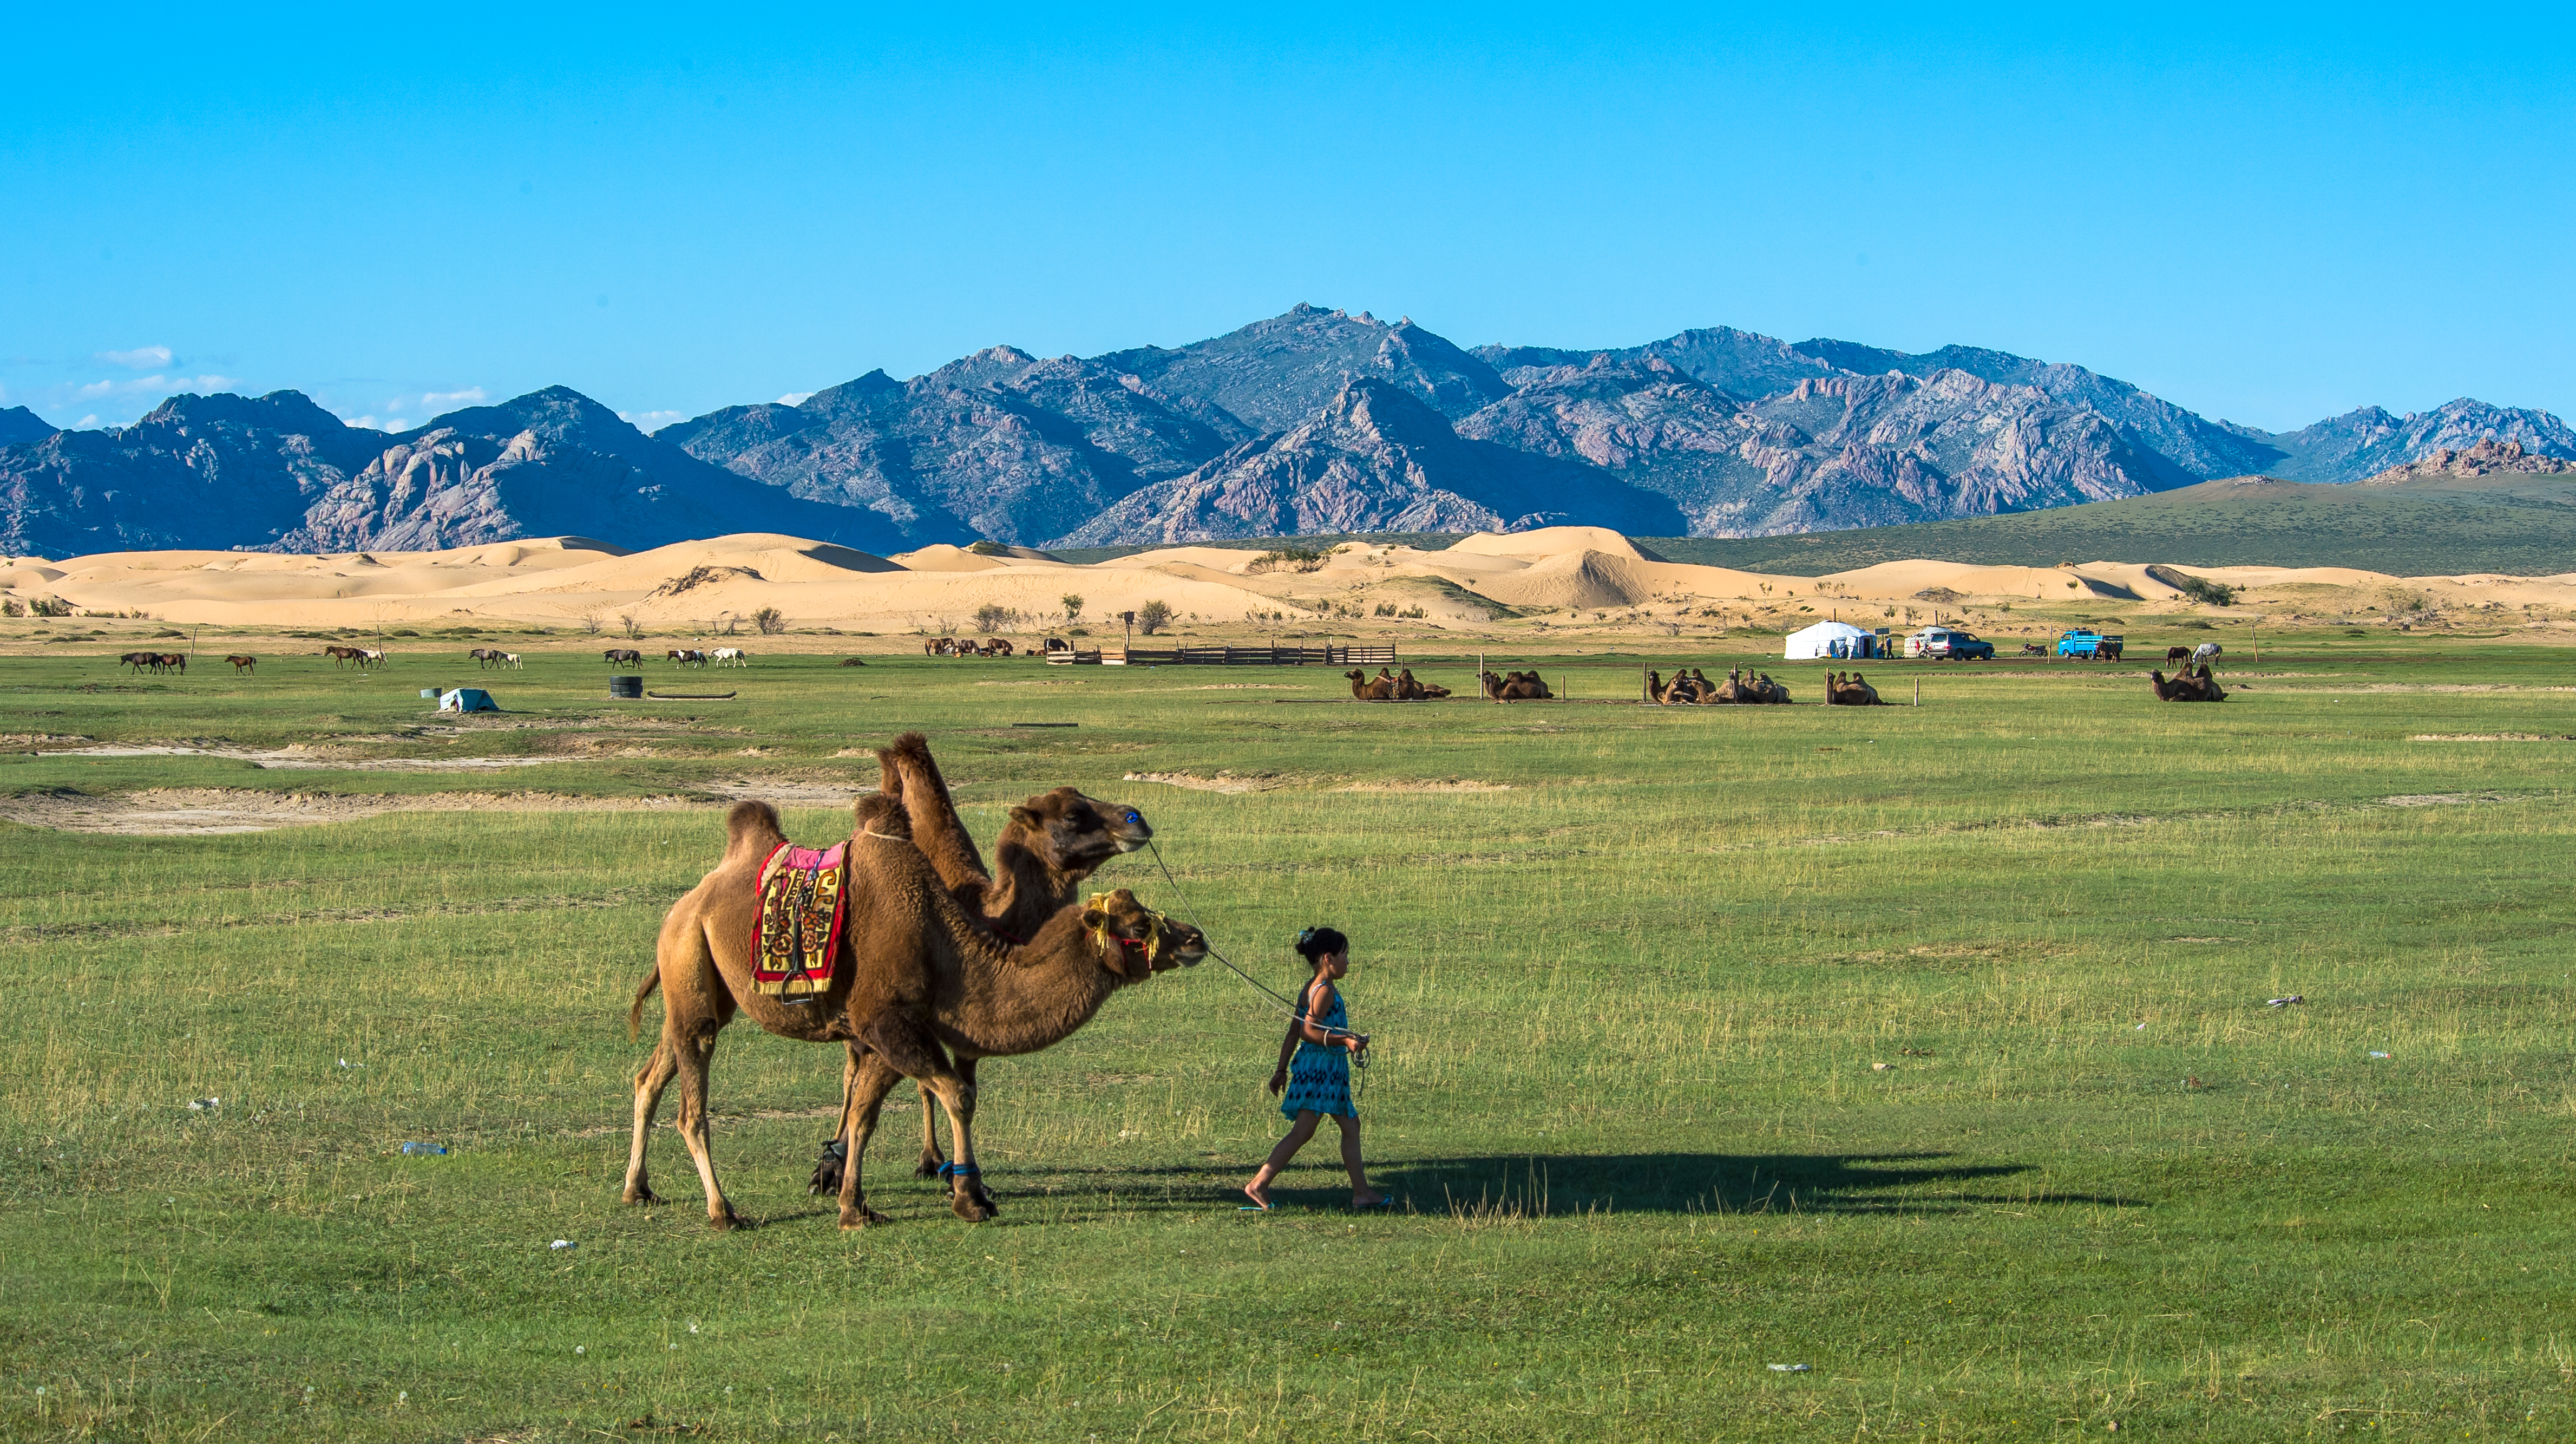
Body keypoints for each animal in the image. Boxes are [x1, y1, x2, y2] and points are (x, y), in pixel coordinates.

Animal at [626, 791, 1203, 1230]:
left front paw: (853, 1203)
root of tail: (685, 903)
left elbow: (867, 1114)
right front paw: (969, 1198)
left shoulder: (894, 1029)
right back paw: (722, 1211)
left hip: (701, 986)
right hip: (690, 965)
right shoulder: (885, 1020)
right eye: (1138, 925)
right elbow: (957, 1094)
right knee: (691, 1106)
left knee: (650, 1075)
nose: (1195, 937)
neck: (947, 939)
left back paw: (638, 1188)